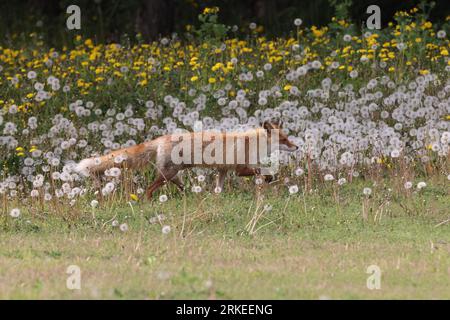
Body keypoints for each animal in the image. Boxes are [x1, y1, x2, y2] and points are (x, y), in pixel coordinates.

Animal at [75, 121, 298, 199]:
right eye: (284, 139)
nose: (296, 147)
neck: (253, 142)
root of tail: (160, 139)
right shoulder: (239, 169)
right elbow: (261, 171)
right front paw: (269, 177)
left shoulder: (224, 170)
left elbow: (219, 188)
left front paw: (216, 199)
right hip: (167, 174)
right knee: (148, 189)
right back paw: (149, 202)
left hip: (173, 175)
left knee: (180, 186)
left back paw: (191, 195)